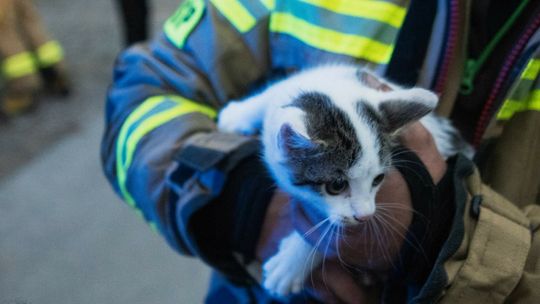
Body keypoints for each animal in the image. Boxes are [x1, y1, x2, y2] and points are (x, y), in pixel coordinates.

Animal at [215, 64, 472, 296]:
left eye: (378, 179)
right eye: (336, 185)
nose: (365, 216)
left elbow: (327, 232)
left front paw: (290, 265)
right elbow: (272, 95)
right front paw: (237, 114)